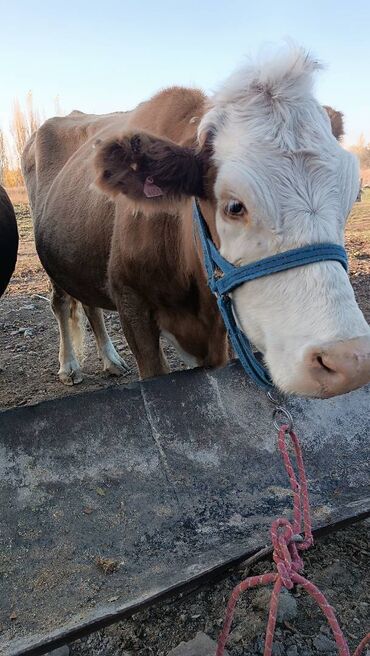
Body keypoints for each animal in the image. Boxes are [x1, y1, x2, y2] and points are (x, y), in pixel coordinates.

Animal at [22, 46, 370, 398]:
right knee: (62, 302)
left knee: (89, 304)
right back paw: (69, 365)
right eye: (234, 206)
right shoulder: (131, 303)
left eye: (352, 196)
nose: (348, 360)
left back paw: (110, 360)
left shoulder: (218, 327)